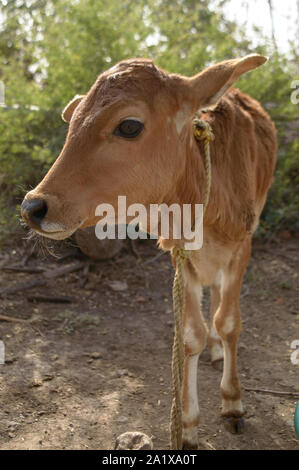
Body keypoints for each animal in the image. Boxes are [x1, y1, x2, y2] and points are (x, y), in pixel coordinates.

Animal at [21, 55, 278, 448]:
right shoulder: (180, 256)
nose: (33, 206)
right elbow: (190, 335)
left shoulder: (242, 245)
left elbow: (229, 321)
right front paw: (187, 424)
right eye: (73, 120)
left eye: (129, 125)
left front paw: (233, 403)